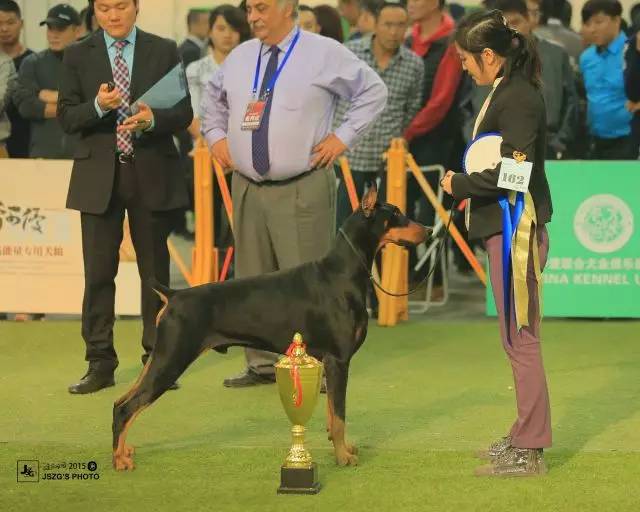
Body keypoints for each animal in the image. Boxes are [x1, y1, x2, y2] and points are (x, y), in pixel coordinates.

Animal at [111, 185, 430, 472]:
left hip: (159, 356)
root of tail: (173, 295)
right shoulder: (339, 360)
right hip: (172, 358)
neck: (343, 273)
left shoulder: (329, 363)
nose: (427, 230)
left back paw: (123, 451)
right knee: (127, 407)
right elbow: (339, 416)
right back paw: (119, 461)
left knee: (120, 402)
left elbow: (331, 415)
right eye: (396, 213)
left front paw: (343, 449)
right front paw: (343, 457)